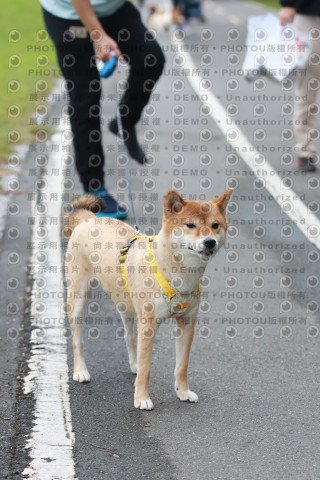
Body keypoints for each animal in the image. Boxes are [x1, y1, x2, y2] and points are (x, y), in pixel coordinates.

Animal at [62, 188, 232, 408]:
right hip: (78, 298)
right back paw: (80, 370)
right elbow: (146, 368)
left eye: (215, 225)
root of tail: (90, 219)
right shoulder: (149, 325)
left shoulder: (187, 323)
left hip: (125, 302)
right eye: (190, 225)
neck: (177, 273)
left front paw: (183, 392)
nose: (210, 242)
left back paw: (132, 363)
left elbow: (182, 365)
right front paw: (142, 398)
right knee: (78, 340)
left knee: (129, 336)